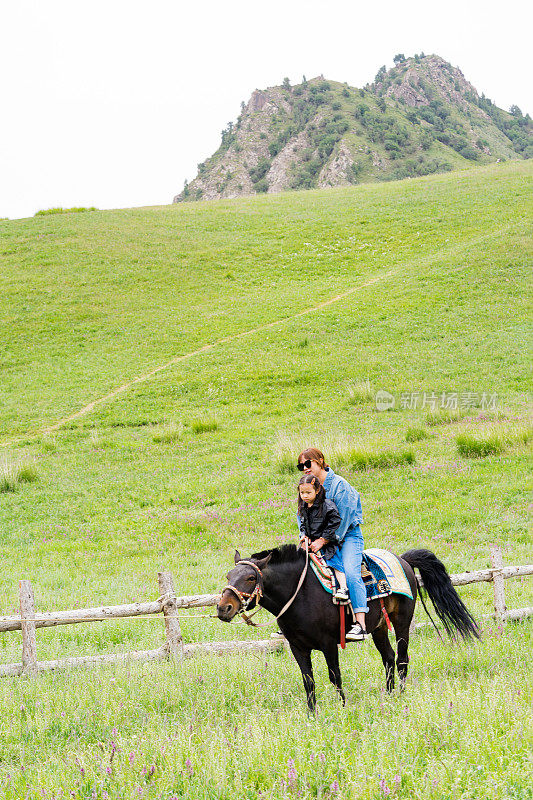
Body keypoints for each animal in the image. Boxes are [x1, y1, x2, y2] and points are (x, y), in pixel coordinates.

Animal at [216, 544, 478, 712]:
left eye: (251, 578)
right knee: (388, 658)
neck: (300, 593)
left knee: (402, 658)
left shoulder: (328, 644)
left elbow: (335, 677)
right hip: (379, 628)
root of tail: (403, 559)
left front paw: (342, 707)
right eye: (229, 575)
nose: (223, 608)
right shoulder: (297, 647)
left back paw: (402, 695)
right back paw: (389, 695)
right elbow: (308, 680)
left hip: (402, 621)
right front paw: (312, 714)